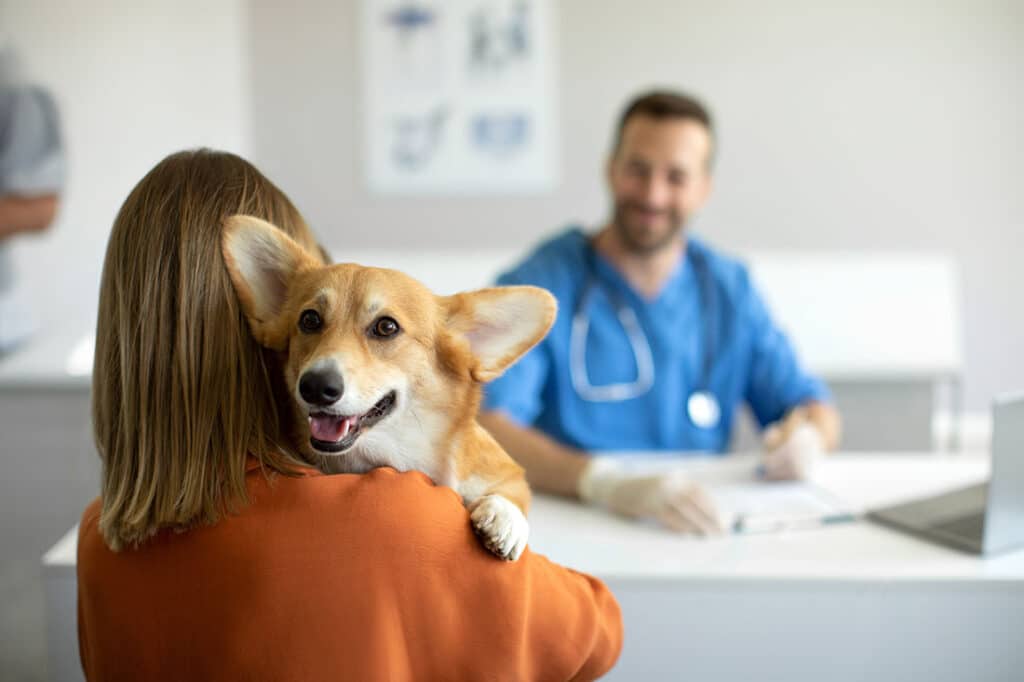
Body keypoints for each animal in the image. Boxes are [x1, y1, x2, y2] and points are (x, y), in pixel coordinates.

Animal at [221, 216, 557, 557]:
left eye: (386, 327)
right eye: (310, 320)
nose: (315, 386)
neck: (397, 452)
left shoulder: (503, 472)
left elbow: (514, 491)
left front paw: (504, 519)